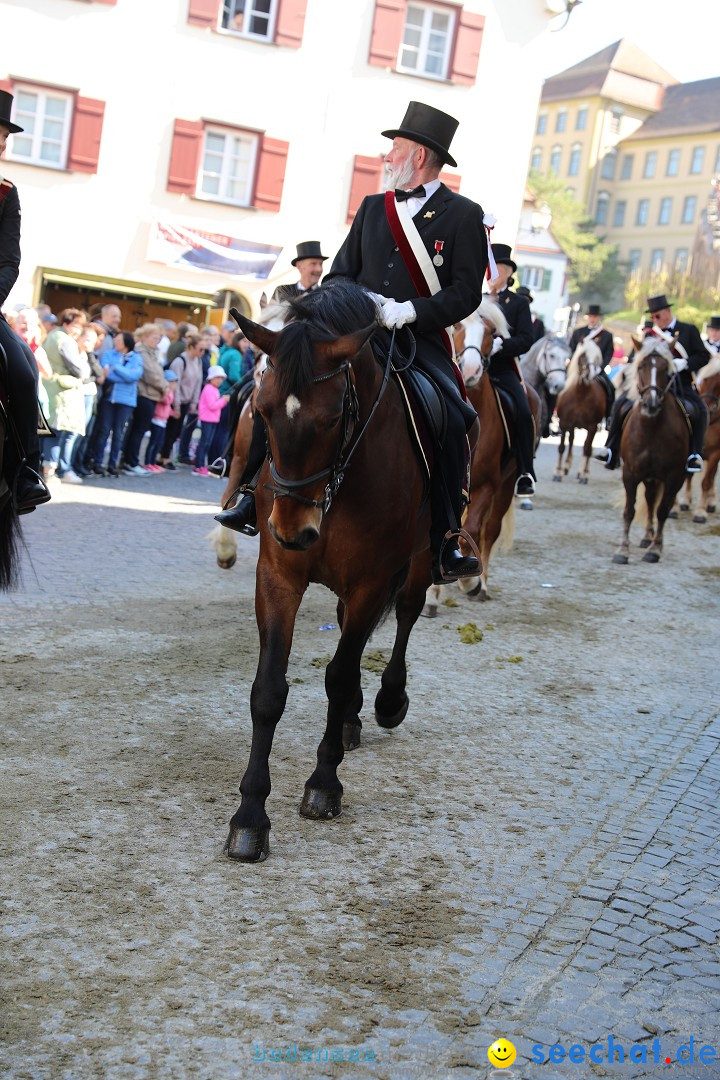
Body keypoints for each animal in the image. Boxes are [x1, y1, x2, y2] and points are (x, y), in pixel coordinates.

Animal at [222, 282, 433, 864]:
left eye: (333, 417)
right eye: (262, 410)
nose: (293, 530)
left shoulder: (371, 582)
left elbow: (337, 675)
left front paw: (323, 783)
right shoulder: (278, 577)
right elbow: (269, 690)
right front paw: (250, 816)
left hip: (422, 558)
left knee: (406, 615)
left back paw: (385, 702)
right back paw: (354, 721)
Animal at [557, 339, 608, 483]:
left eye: (597, 358)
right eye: (583, 356)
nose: (590, 374)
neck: (581, 394)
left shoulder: (592, 427)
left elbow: (586, 448)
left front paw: (583, 475)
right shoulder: (564, 423)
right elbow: (562, 447)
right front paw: (558, 472)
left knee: (587, 447)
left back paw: (583, 472)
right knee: (571, 441)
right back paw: (566, 466)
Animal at [613, 336, 690, 565]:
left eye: (666, 370)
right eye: (641, 367)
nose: (651, 403)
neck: (651, 429)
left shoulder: (674, 475)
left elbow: (663, 510)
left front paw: (655, 550)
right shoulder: (630, 473)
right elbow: (629, 511)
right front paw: (622, 550)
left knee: (658, 505)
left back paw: (654, 542)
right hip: (650, 478)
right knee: (649, 500)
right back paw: (647, 537)